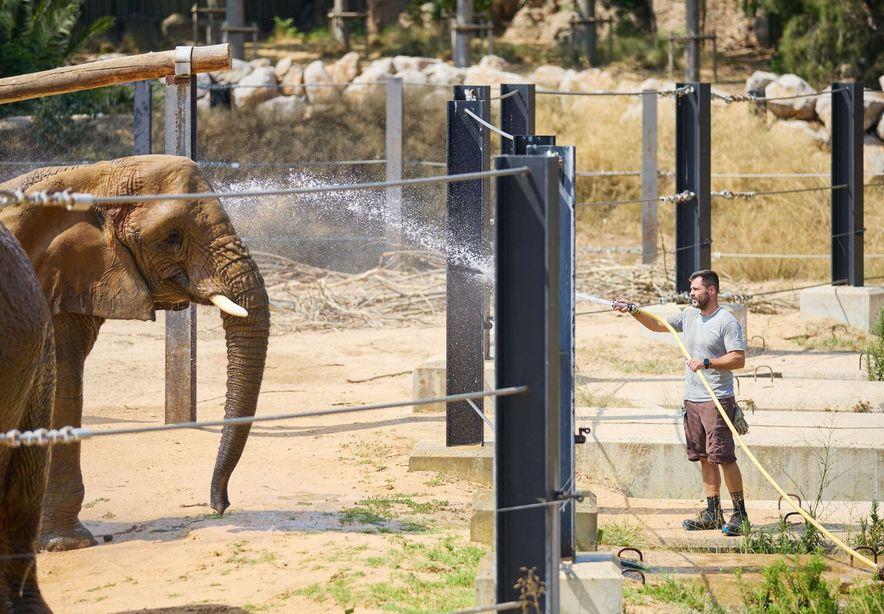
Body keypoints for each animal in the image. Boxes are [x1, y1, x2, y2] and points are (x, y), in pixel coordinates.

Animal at [0, 155, 272, 552]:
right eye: (172, 238)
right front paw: (69, 545)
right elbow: (61, 387)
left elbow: (63, 385)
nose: (220, 506)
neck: (95, 176)